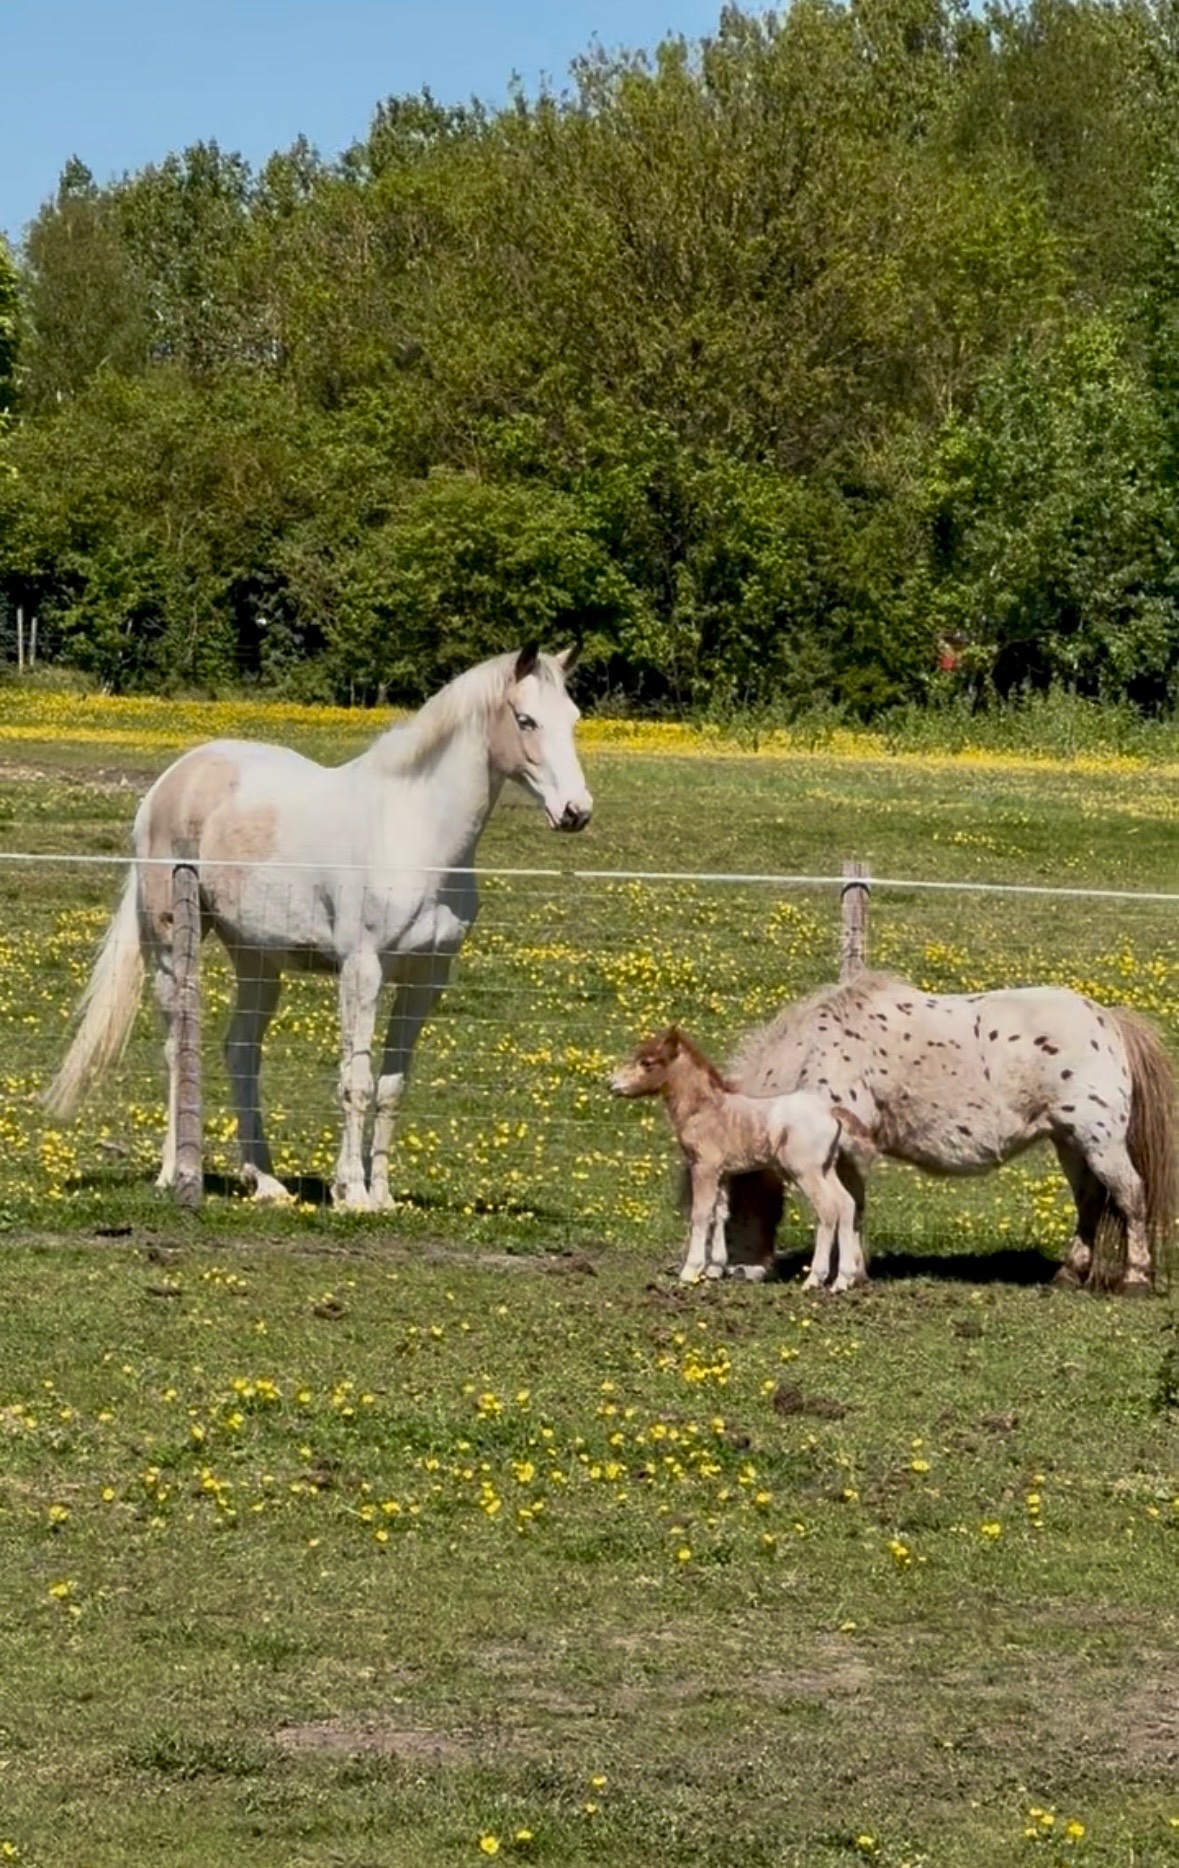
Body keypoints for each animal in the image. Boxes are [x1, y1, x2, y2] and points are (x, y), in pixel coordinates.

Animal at [45, 644, 592, 1210]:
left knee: (241, 1050)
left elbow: (392, 1086)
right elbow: (356, 1081)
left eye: (574, 718)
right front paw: (353, 1193)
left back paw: (265, 1180)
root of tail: (167, 784)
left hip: (256, 960)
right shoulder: (362, 970)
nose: (576, 811)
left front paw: (383, 1197)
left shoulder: (426, 979)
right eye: (526, 720)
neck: (415, 834)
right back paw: (174, 1171)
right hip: (172, 950)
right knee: (178, 1048)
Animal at [610, 1025, 870, 1285]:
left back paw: (815, 1278)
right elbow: (719, 1213)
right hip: (827, 1169)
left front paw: (691, 1270)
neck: (705, 1110)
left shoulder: (704, 1168)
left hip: (805, 1172)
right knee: (846, 1204)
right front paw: (715, 1268)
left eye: (647, 1062)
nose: (611, 1084)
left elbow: (701, 1214)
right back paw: (843, 1280)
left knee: (827, 1210)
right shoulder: (723, 1173)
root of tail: (830, 1111)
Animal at [719, 972, 1177, 1294]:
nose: (736, 1271)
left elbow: (849, 1206)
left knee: (1130, 1196)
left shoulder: (849, 1148)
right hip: (1070, 1142)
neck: (815, 1051)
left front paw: (849, 1272)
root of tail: (1109, 1021)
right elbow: (853, 1206)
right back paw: (1068, 1274)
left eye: (730, 1214)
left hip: (1099, 1142)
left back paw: (1136, 1279)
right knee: (1090, 1202)